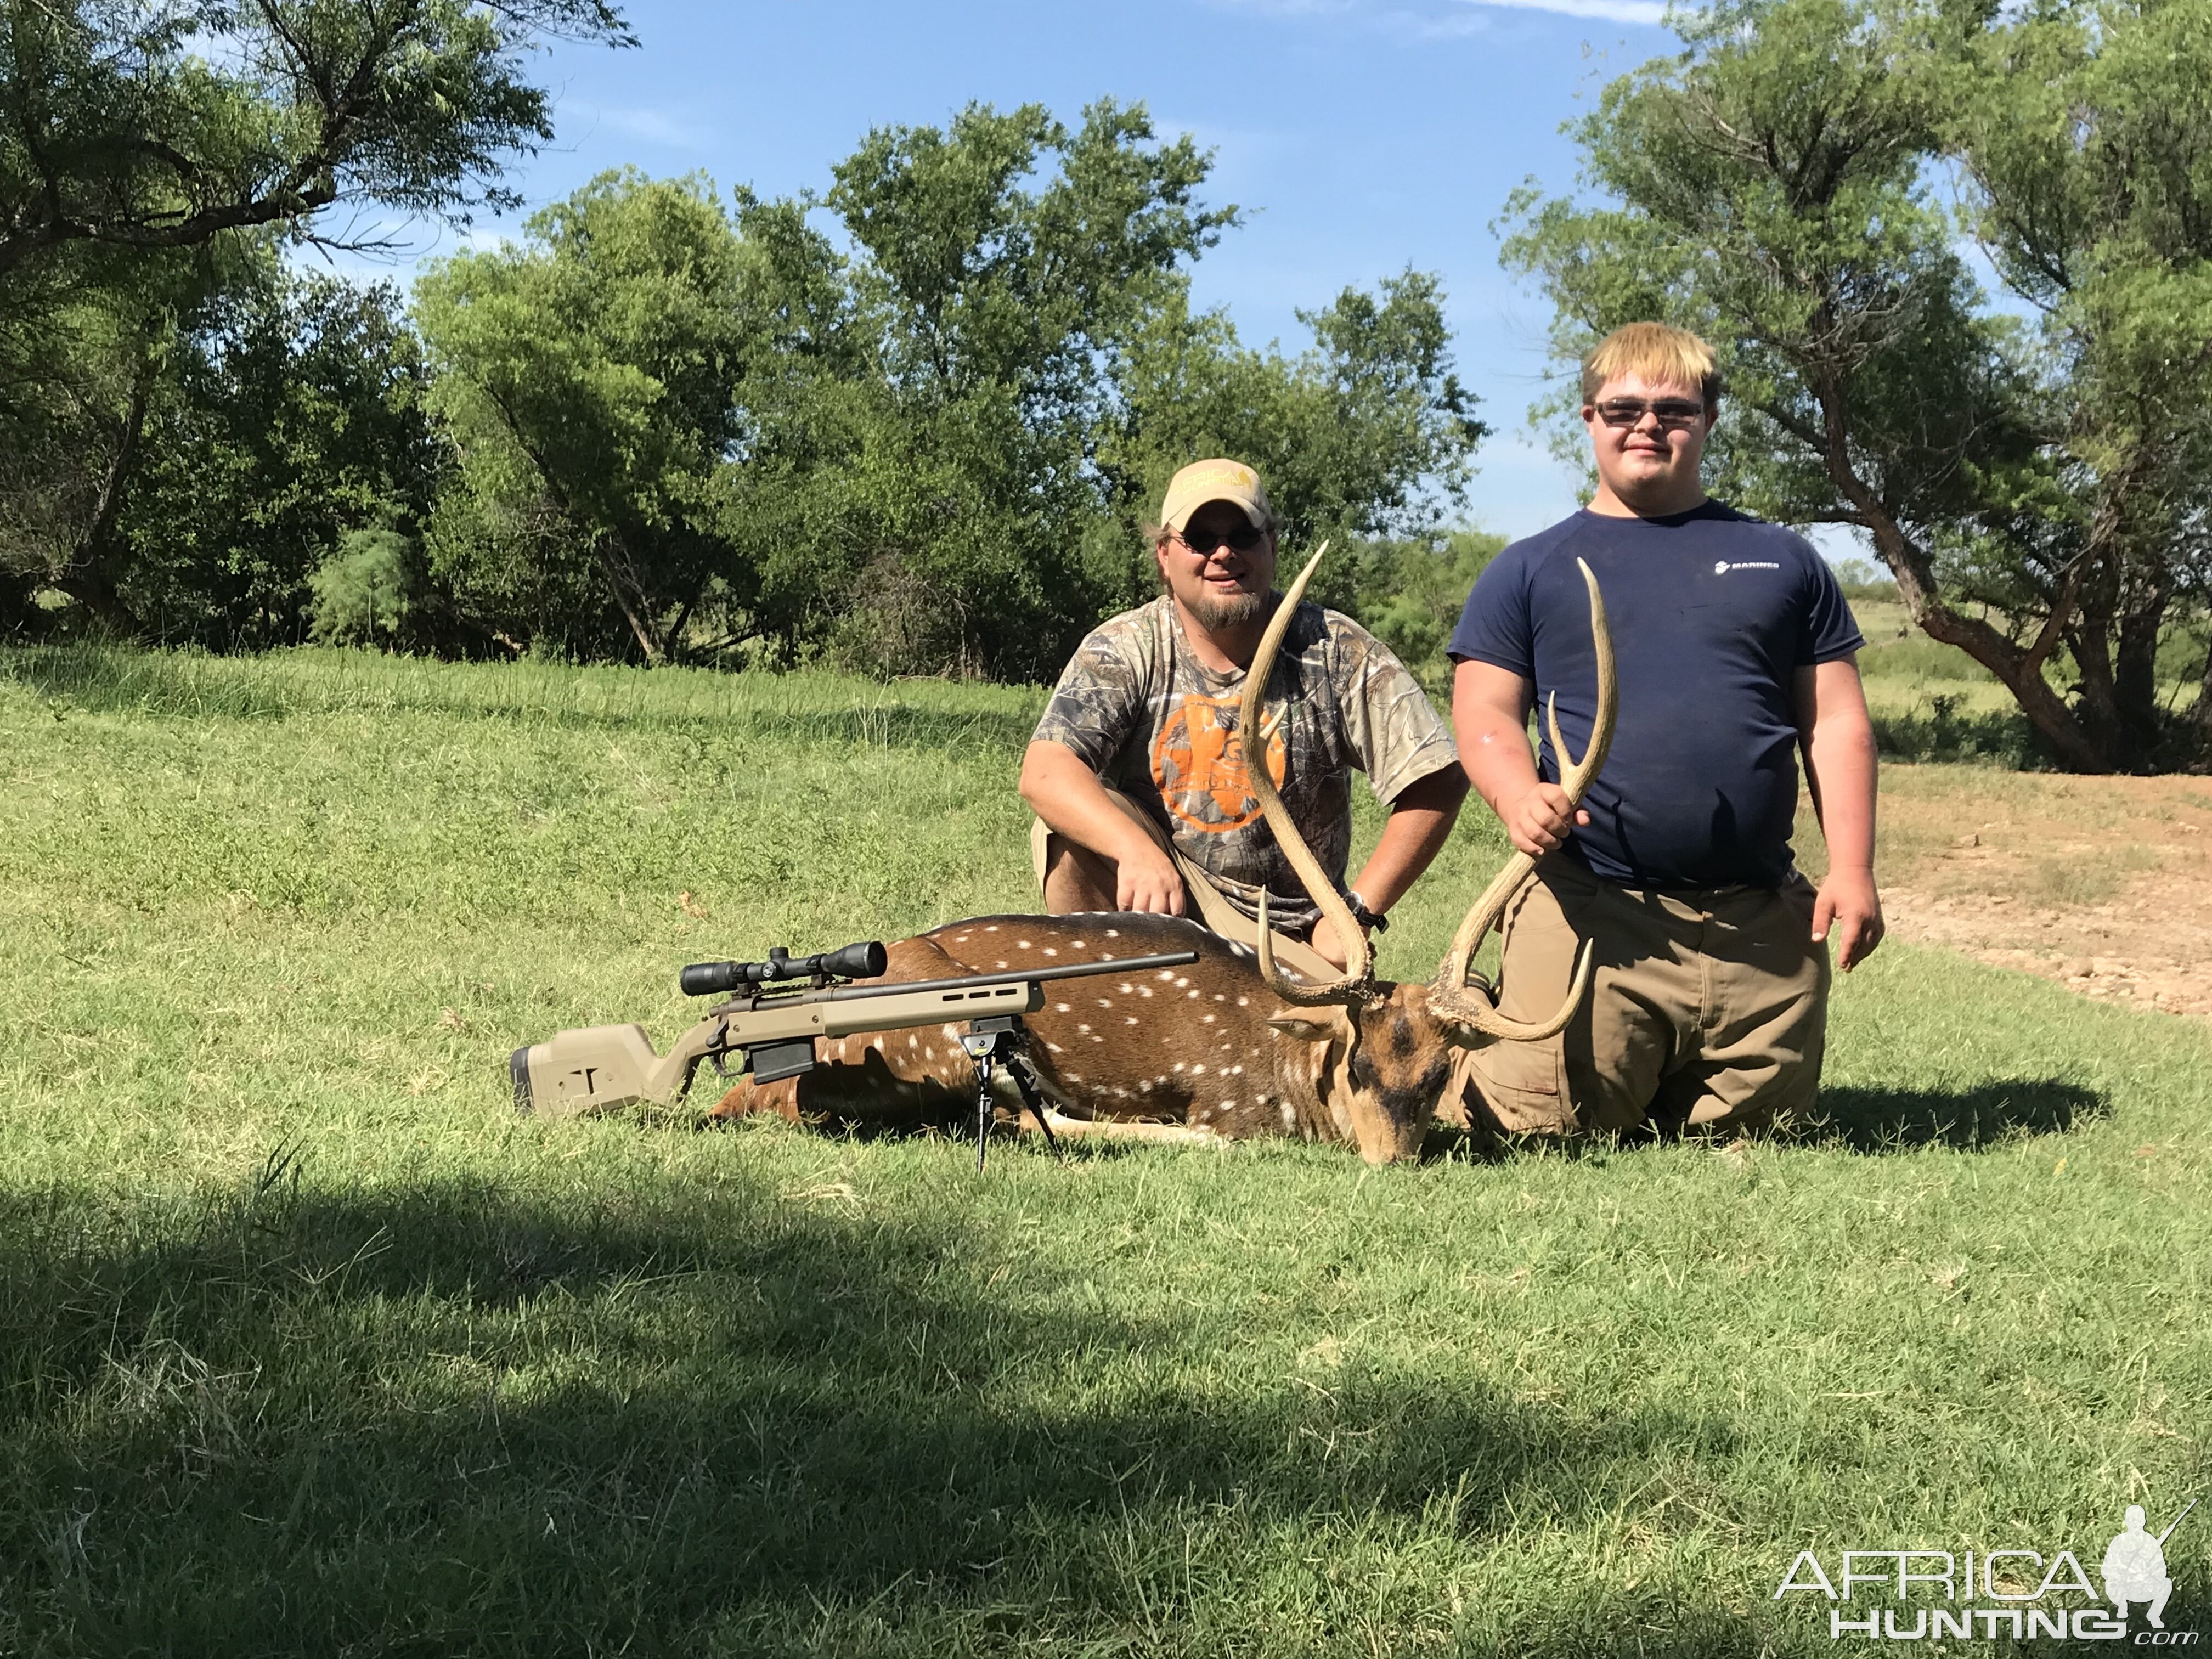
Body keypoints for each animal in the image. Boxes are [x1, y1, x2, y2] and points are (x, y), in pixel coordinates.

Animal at [716, 553, 1619, 1159]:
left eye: (1437, 1078)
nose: (1388, 1160)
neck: (1290, 1069)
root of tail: (746, 1084)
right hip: (928, 1041)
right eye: (1359, 1065)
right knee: (1008, 1111)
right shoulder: (1223, 1097)